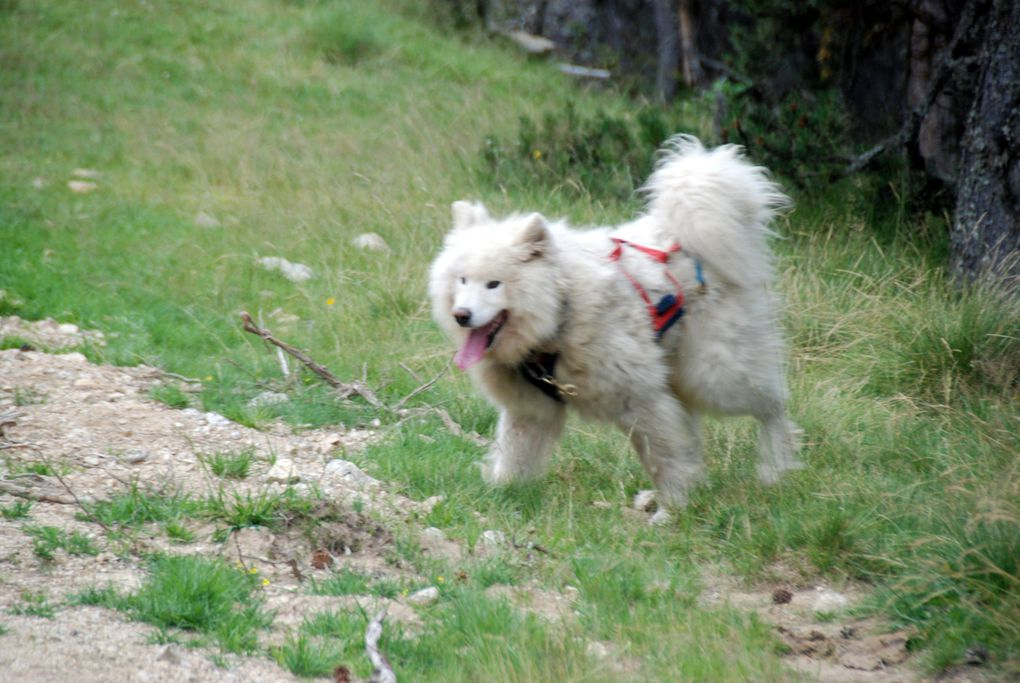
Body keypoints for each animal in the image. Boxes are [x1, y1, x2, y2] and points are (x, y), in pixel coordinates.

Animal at [426, 136, 799, 515]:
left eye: (494, 284)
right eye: (462, 280)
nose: (461, 315)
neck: (560, 313)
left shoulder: (640, 398)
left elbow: (665, 459)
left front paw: (673, 509)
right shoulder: (529, 408)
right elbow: (513, 458)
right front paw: (498, 497)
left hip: (714, 374)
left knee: (773, 405)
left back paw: (775, 466)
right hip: (682, 372)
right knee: (698, 427)